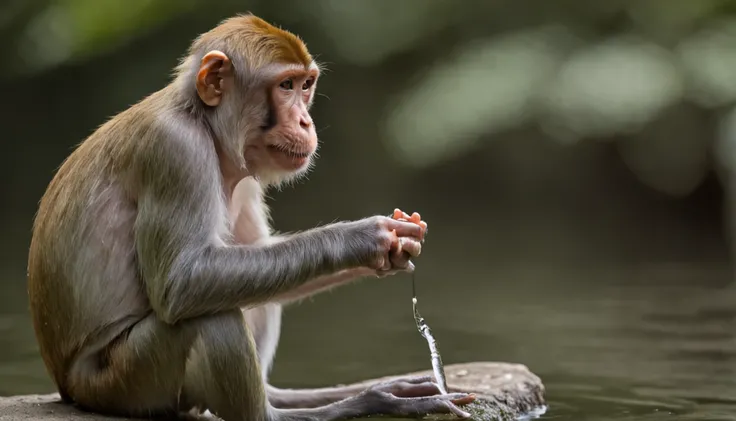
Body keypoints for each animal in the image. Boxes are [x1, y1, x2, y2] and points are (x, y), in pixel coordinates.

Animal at [25, 13, 474, 420]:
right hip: (125, 382)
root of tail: (67, 386)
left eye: (306, 85)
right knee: (210, 314)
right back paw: (315, 409)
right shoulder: (176, 150)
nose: (305, 120)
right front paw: (365, 238)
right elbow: (180, 283)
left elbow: (258, 253)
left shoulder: (246, 176)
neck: (203, 122)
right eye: (285, 86)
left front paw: (399, 246)